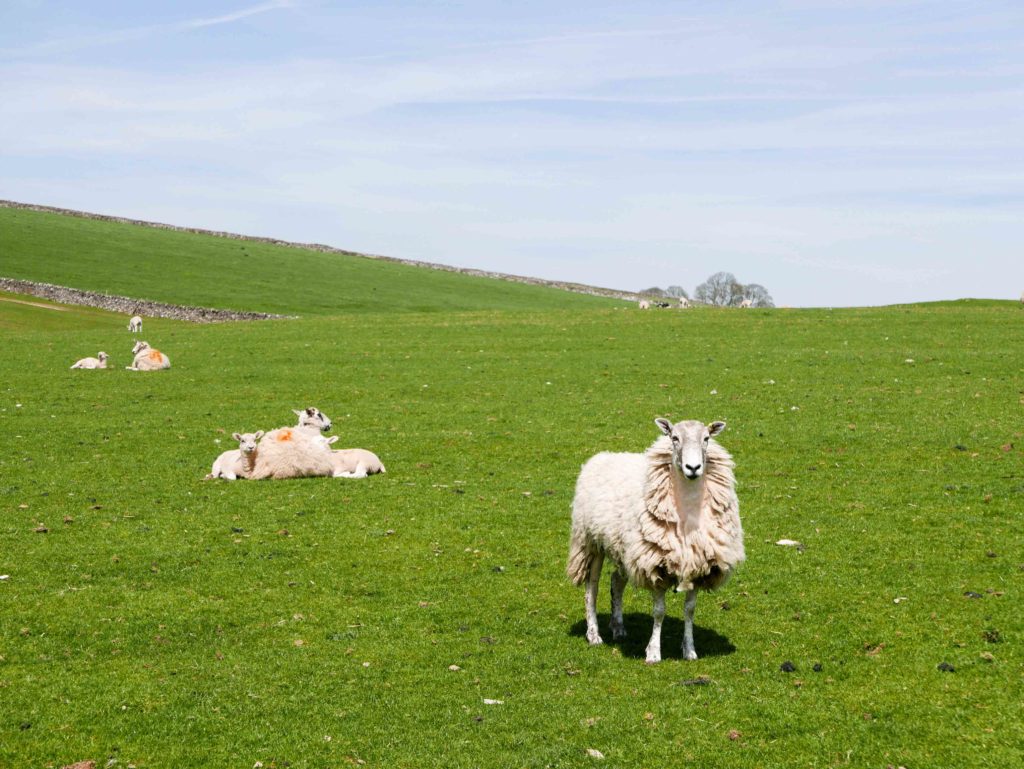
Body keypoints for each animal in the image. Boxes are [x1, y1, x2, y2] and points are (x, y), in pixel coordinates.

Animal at [567, 417, 744, 663]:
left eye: (706, 438)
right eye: (674, 438)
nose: (693, 468)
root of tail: (602, 456)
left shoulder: (698, 564)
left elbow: (690, 609)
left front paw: (690, 650)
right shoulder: (656, 564)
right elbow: (659, 612)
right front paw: (653, 652)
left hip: (625, 549)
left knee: (616, 581)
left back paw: (618, 627)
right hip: (590, 541)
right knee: (591, 588)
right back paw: (594, 634)